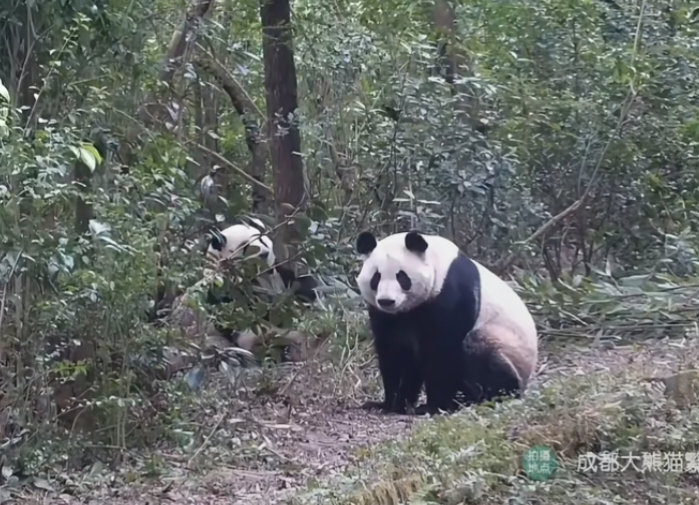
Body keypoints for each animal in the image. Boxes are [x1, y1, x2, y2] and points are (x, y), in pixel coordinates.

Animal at [356, 230, 540, 416]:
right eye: (376, 278)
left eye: (402, 277)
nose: (387, 301)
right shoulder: (388, 316)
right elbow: (395, 352)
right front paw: (390, 403)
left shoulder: (451, 294)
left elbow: (442, 351)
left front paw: (432, 406)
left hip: (506, 346)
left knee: (479, 352)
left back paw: (482, 397)